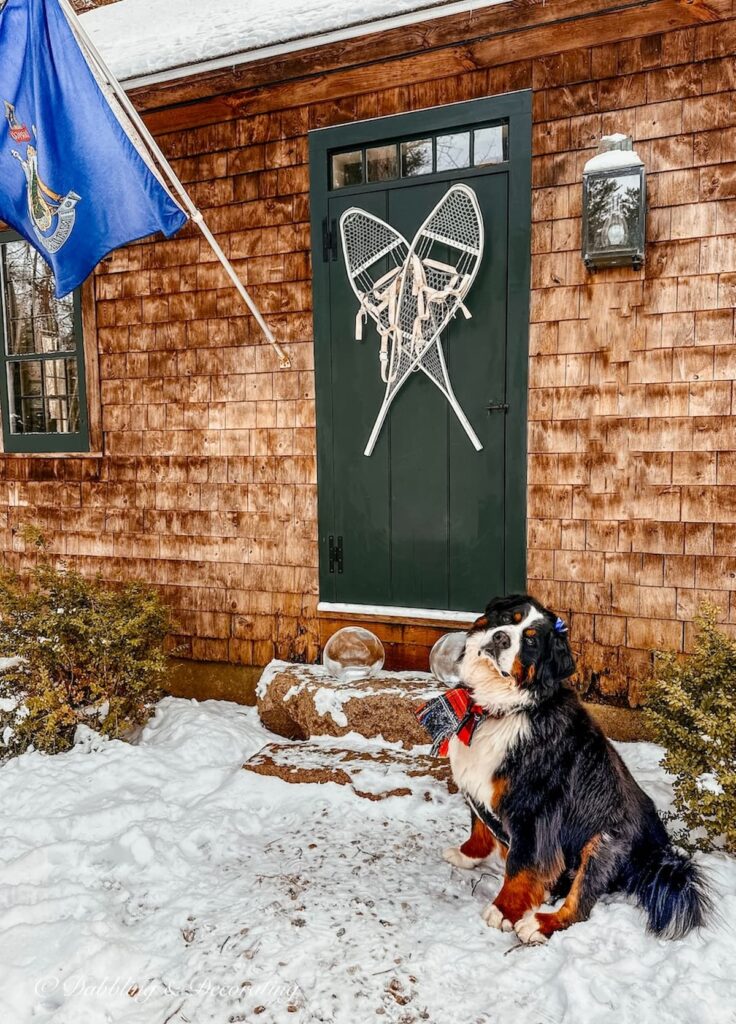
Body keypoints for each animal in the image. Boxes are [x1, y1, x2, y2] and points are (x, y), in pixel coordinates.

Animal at [438, 593, 712, 942]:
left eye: (531, 641)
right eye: (507, 618)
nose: (500, 638)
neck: (501, 710)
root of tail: (654, 857)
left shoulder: (535, 810)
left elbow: (523, 863)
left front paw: (504, 910)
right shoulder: (480, 787)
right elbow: (479, 826)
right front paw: (467, 854)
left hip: (604, 842)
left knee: (579, 906)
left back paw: (539, 923)